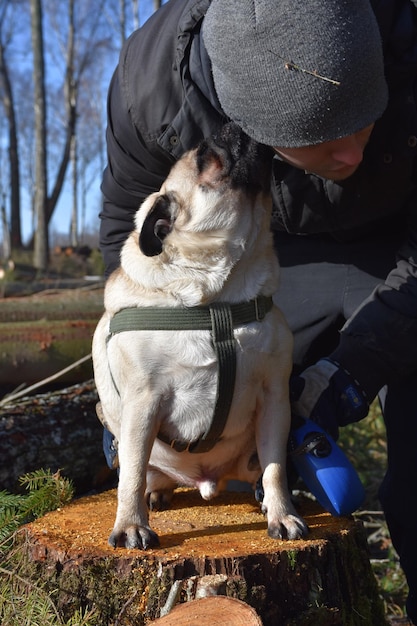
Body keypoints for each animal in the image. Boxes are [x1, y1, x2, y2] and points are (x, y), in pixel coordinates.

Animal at [92, 120, 308, 544]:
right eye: (206, 156)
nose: (235, 125)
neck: (216, 294)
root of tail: (207, 482)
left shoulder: (275, 399)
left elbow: (276, 468)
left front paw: (282, 514)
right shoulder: (142, 402)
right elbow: (131, 474)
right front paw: (131, 524)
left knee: (261, 470)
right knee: (144, 473)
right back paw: (155, 495)